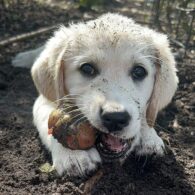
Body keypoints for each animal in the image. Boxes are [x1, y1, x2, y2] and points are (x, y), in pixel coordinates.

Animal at [12, 12, 178, 177]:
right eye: (87, 68)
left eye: (139, 71)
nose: (115, 118)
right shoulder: (44, 101)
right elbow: (49, 119)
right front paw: (72, 155)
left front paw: (149, 137)